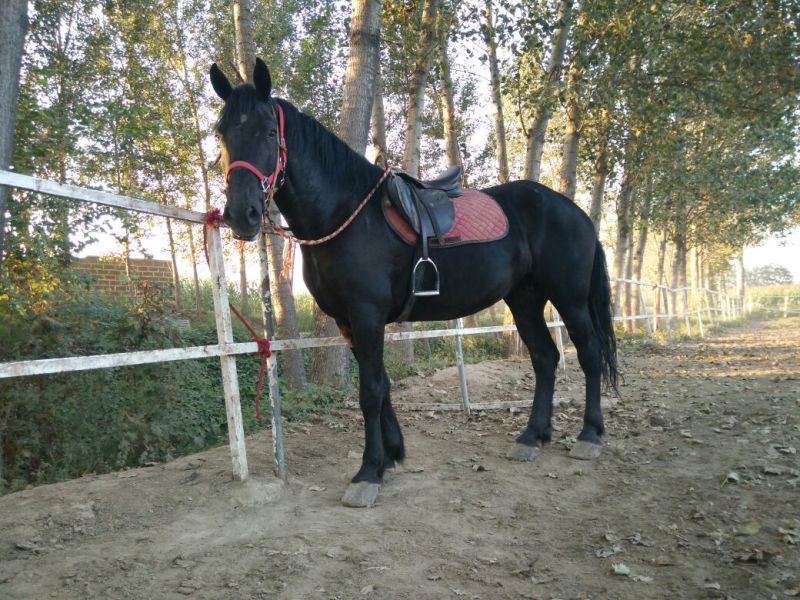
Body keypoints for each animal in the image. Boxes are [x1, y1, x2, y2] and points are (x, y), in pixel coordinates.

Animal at [209, 58, 618, 507]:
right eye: (222, 132)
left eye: (269, 131)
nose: (241, 214)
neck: (345, 213)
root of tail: (575, 211)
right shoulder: (348, 321)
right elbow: (382, 384)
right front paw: (392, 454)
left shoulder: (367, 316)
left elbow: (370, 390)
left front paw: (368, 472)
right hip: (524, 300)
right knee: (545, 357)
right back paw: (532, 437)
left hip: (570, 299)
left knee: (588, 353)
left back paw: (589, 435)